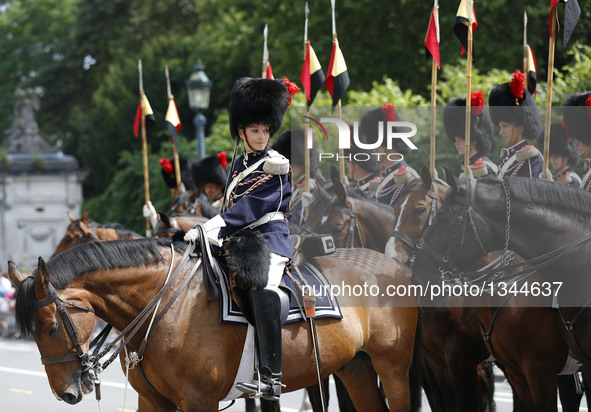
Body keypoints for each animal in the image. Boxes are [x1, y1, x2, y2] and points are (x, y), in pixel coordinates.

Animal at [8, 237, 416, 410]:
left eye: (50, 328)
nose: (66, 393)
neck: (164, 306)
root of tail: (394, 264)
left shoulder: (199, 401)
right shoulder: (152, 402)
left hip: (394, 368)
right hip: (355, 368)